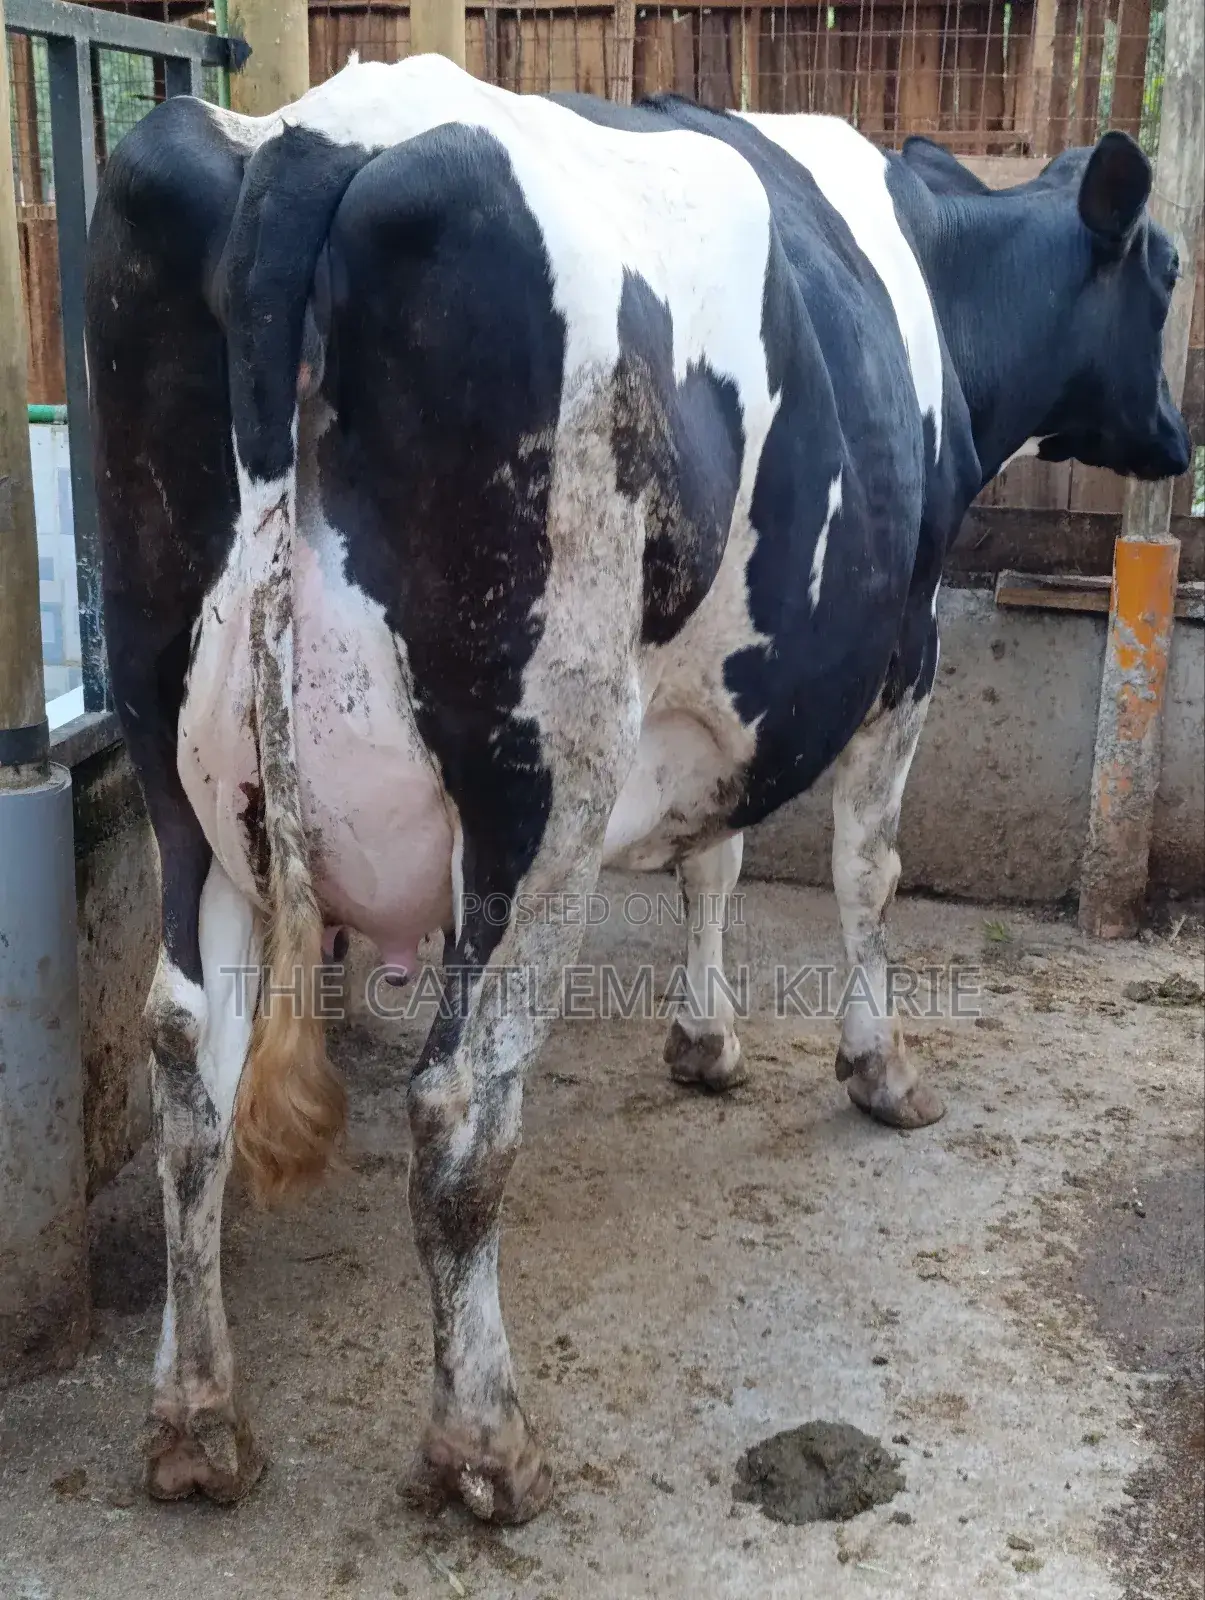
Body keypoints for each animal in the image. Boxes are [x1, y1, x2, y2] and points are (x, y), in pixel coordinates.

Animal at [84, 53, 1190, 1524]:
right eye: (1166, 270)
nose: (1177, 437)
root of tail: (318, 138)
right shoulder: (903, 646)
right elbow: (865, 870)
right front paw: (879, 1070)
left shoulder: (711, 691)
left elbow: (714, 851)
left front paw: (703, 1042)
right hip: (538, 781)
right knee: (459, 1101)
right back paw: (483, 1445)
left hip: (178, 765)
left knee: (187, 1070)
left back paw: (196, 1420)